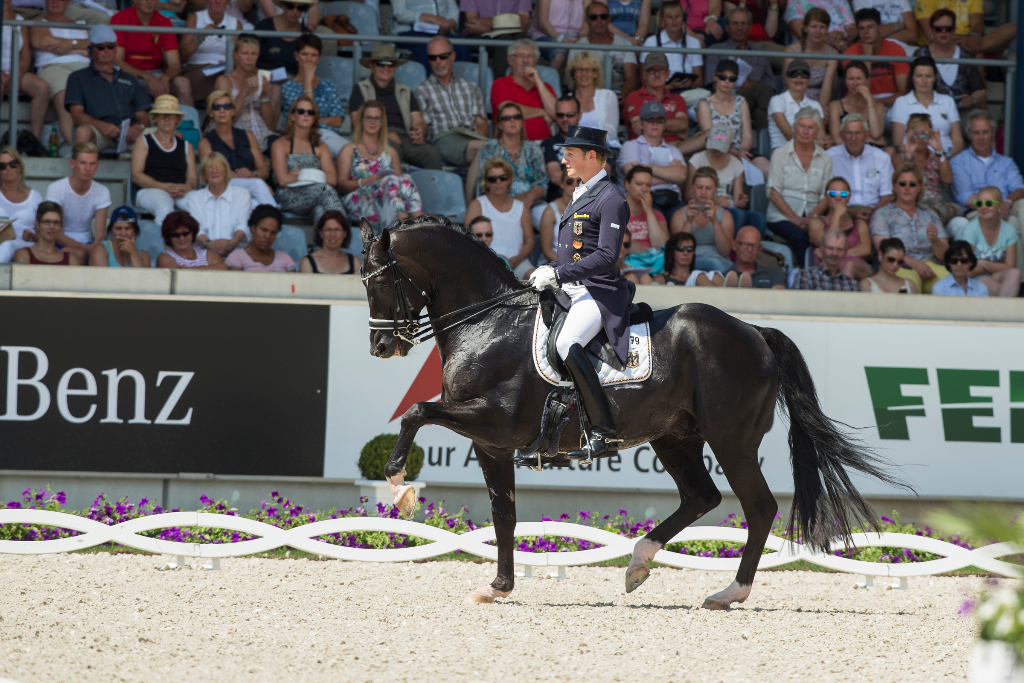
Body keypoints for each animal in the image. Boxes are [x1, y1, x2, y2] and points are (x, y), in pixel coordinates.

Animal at [358, 215, 905, 610]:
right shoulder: (491, 443)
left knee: (759, 507)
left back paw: (729, 592)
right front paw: (498, 586)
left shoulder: (495, 419)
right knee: (701, 497)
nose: (382, 346)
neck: (487, 322)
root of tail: (752, 331)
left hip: (731, 439)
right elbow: (504, 514)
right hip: (675, 436)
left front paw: (400, 486)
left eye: (378, 283)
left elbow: (416, 411)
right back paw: (639, 563)